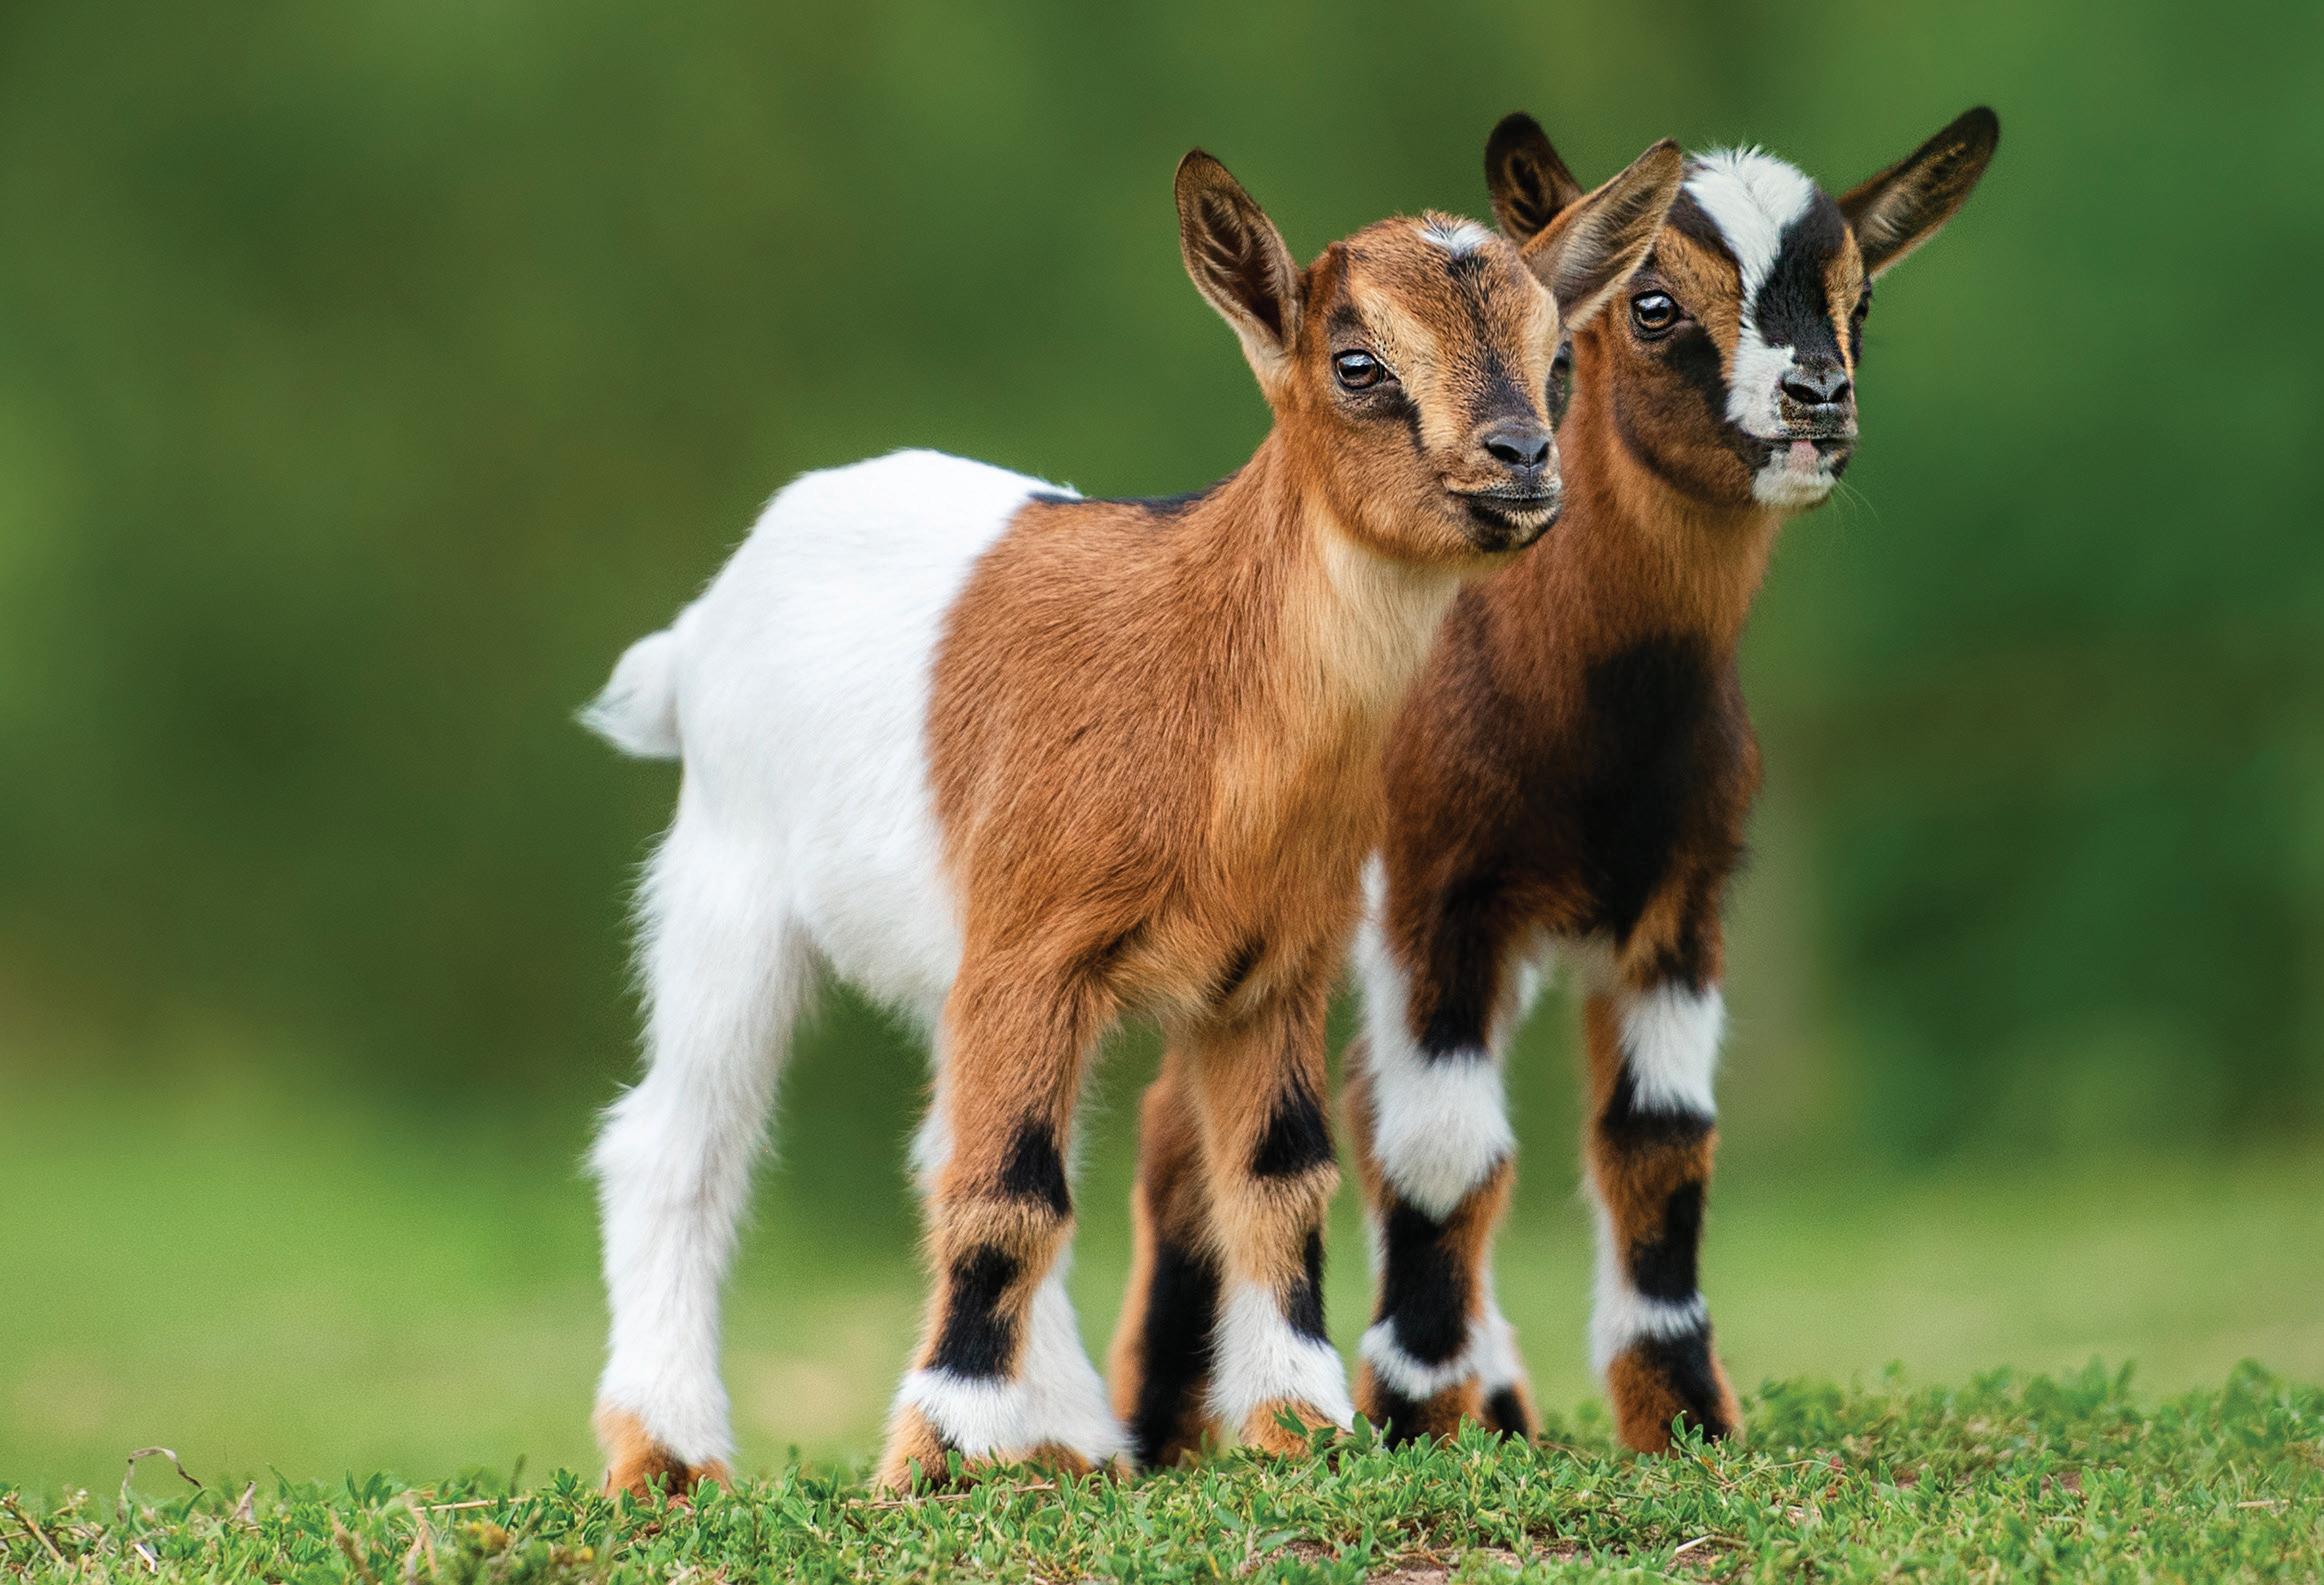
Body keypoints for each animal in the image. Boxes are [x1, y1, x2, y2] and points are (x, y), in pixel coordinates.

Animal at [582, 142, 1684, 1493]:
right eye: (1356, 362)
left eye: (1559, 360)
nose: (1521, 457)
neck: (1203, 680)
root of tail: (699, 628)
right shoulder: (1033, 949)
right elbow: (1009, 1191)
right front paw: (933, 1453)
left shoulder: (1272, 968)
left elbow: (1277, 1177)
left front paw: (1295, 1421)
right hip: (729, 887)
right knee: (680, 1144)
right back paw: (669, 1455)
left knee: (940, 1143)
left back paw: (1061, 1437)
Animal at [1111, 109, 1999, 1460]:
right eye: (1651, 302)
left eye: (1860, 300)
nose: (1815, 397)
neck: (1576, 718)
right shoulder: (1436, 894)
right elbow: (1441, 1145)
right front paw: (1415, 1418)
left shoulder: (1679, 901)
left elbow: (1658, 1138)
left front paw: (1681, 1418)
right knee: (1191, 1129)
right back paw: (1161, 1433)